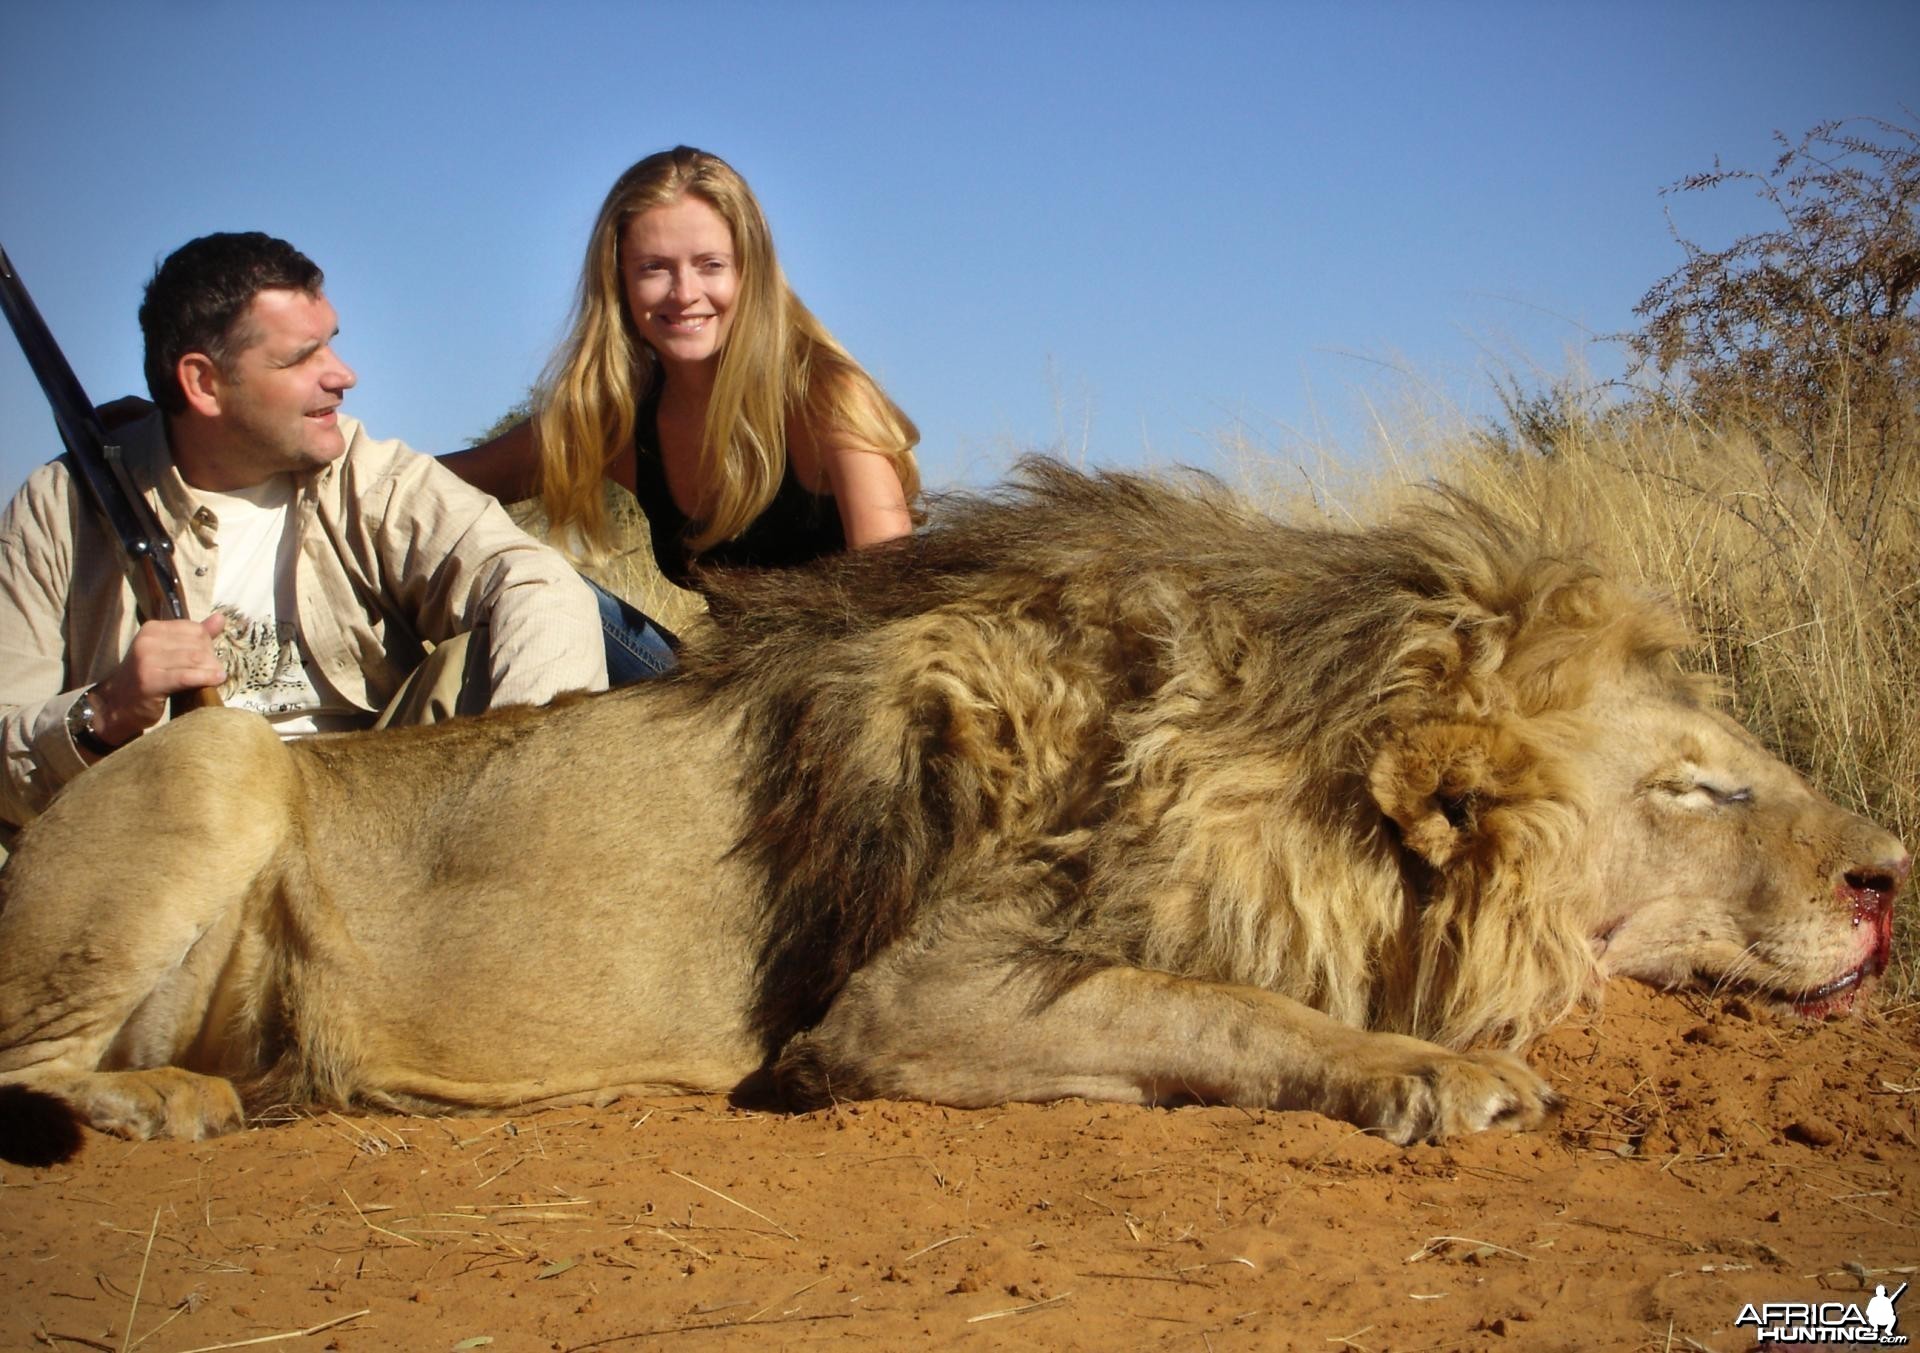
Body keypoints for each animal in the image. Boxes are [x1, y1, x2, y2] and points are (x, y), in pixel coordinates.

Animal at [0, 464, 1904, 1159]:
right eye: (1695, 783)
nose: (1896, 874)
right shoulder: (900, 1001)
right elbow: (1220, 1007)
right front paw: (1431, 1068)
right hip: (214, 769)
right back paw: (159, 1102)